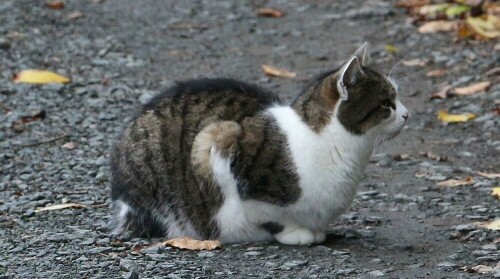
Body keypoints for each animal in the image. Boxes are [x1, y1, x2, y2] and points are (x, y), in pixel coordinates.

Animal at [109, 43, 406, 245]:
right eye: (386, 104)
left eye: (396, 98)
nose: (407, 114)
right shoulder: (220, 141)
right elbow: (268, 214)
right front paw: (297, 233)